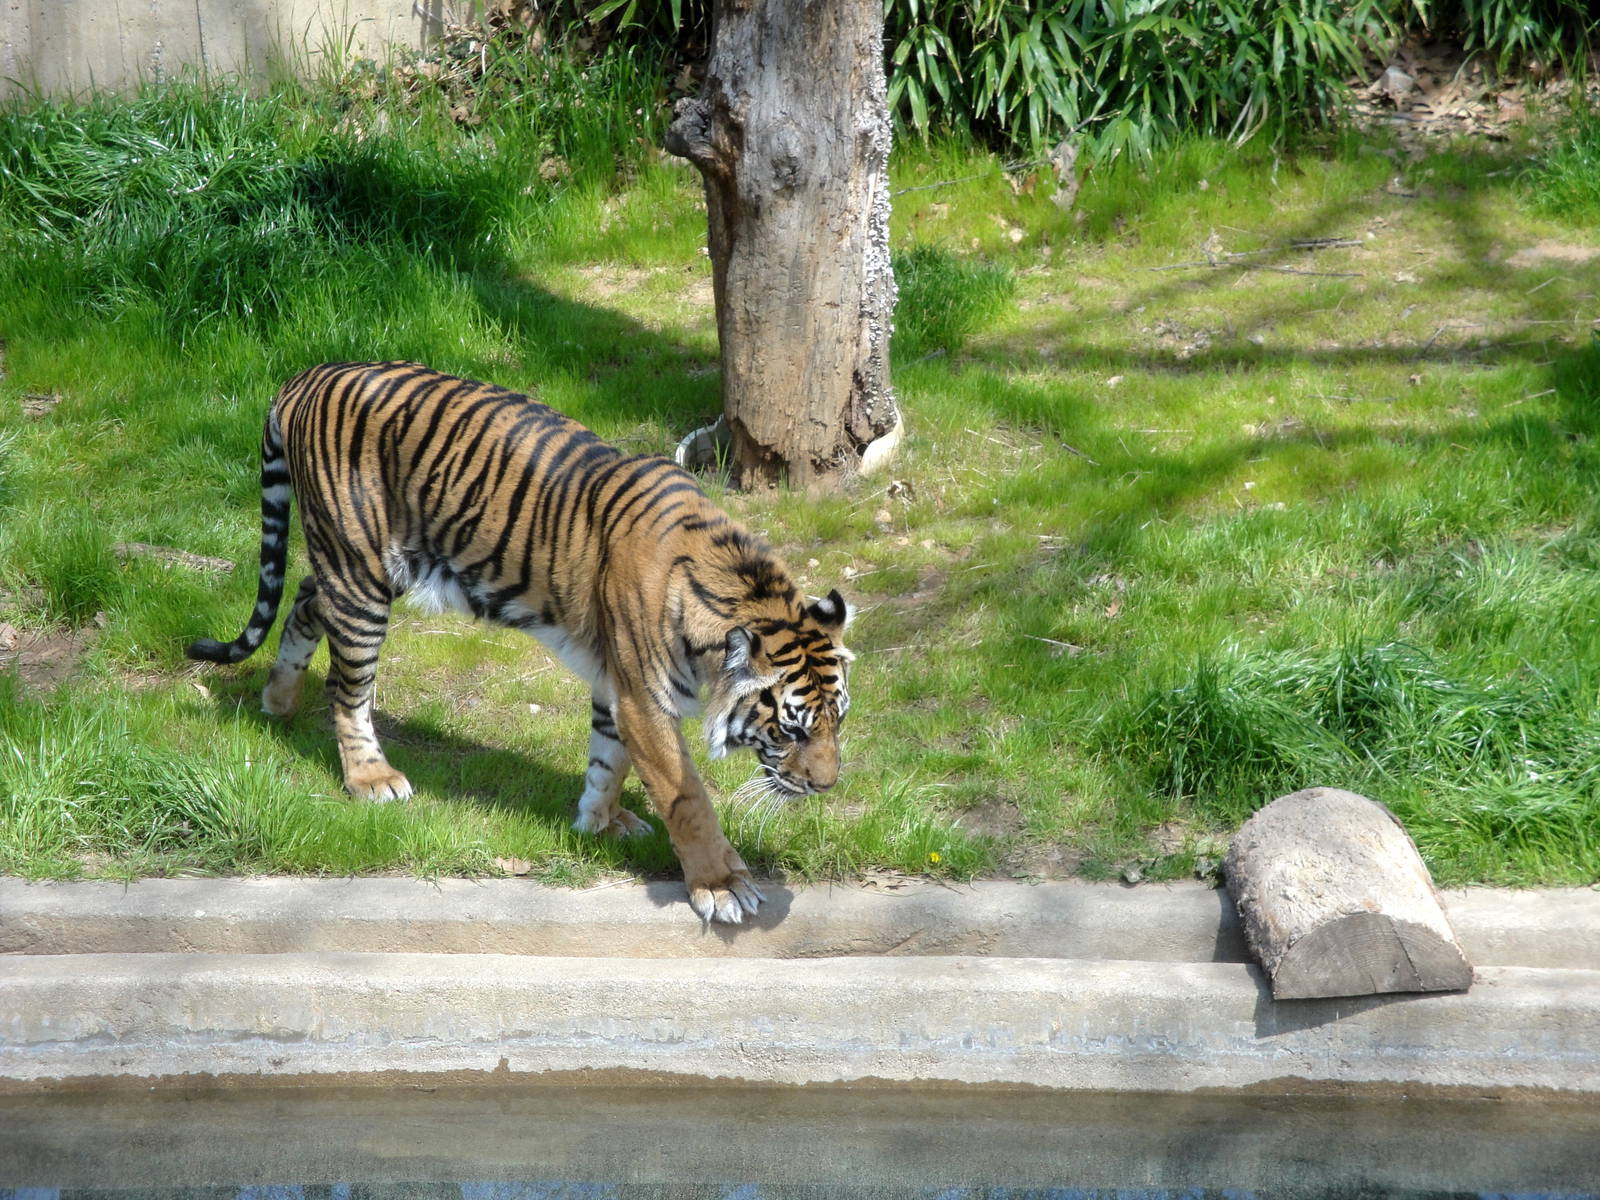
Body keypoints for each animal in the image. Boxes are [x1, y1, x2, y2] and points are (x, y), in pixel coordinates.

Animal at [187, 361, 854, 924]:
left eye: (837, 722)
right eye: (791, 729)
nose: (827, 787)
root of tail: (309, 373)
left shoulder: (617, 685)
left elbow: (608, 761)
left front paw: (599, 823)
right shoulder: (646, 699)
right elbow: (686, 797)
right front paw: (721, 884)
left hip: (363, 569)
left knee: (304, 598)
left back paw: (277, 702)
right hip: (360, 574)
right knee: (347, 687)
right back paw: (371, 778)